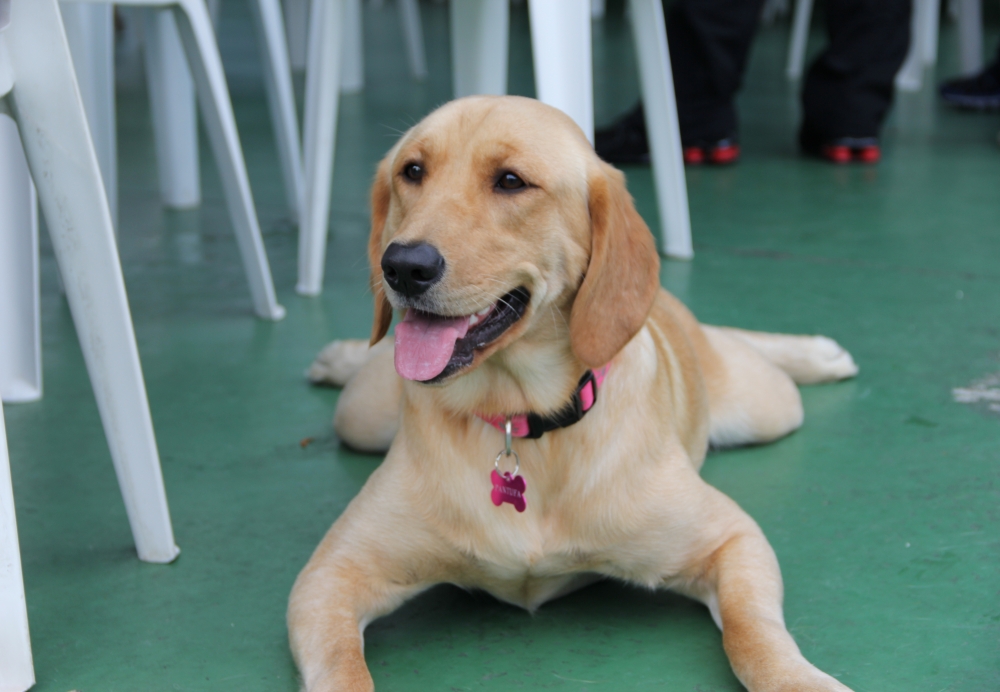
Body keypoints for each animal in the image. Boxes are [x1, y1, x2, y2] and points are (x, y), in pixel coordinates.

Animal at [290, 94, 860, 688]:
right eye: (413, 171)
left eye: (511, 181)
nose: (402, 265)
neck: (520, 419)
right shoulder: (331, 574)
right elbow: (342, 670)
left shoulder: (733, 538)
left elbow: (753, 635)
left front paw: (799, 678)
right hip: (359, 416)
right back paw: (341, 356)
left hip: (770, 406)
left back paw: (816, 353)